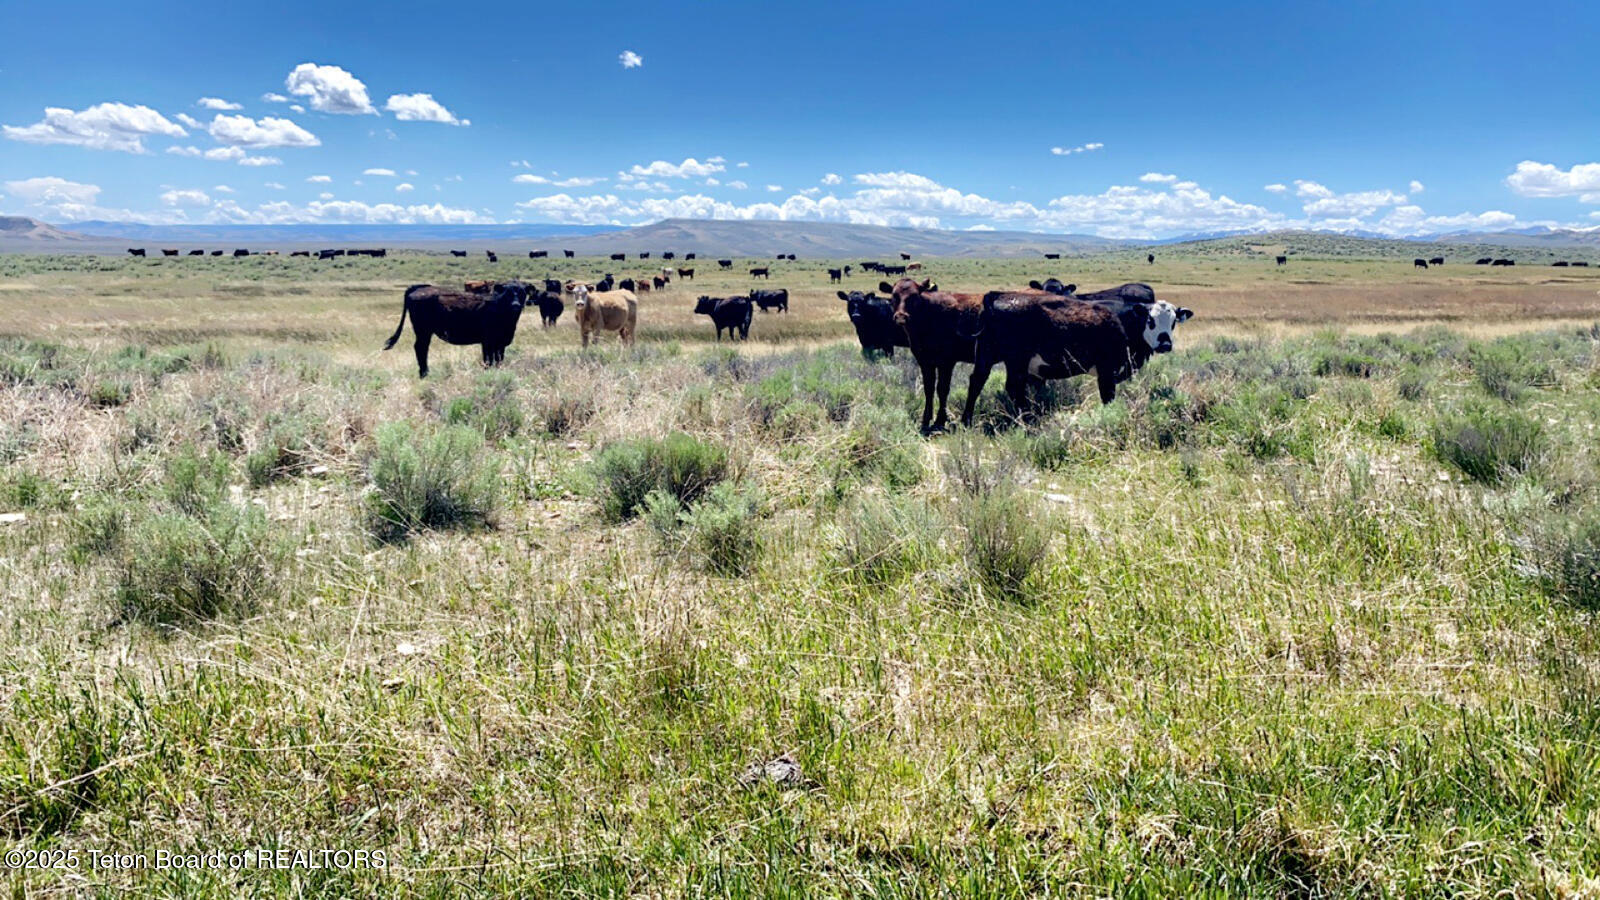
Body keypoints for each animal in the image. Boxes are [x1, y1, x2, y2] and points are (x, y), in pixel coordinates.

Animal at [382, 281, 528, 377]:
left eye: (522, 293)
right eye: (508, 293)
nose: (516, 305)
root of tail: (419, 288)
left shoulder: (500, 343)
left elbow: (499, 359)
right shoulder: (487, 342)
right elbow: (488, 359)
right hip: (423, 331)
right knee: (420, 348)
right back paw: (425, 373)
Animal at [880, 277, 982, 433]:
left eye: (915, 296)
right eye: (893, 296)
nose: (901, 317)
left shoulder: (947, 361)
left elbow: (942, 389)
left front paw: (940, 420)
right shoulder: (924, 360)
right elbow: (928, 388)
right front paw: (925, 420)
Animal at [962, 290, 1193, 424]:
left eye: (1173, 322)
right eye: (1150, 321)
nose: (1165, 344)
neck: (1123, 321)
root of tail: (997, 295)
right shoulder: (1106, 370)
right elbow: (1108, 397)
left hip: (987, 355)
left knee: (976, 382)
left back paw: (967, 421)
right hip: (1016, 360)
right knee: (1012, 387)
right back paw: (1028, 420)